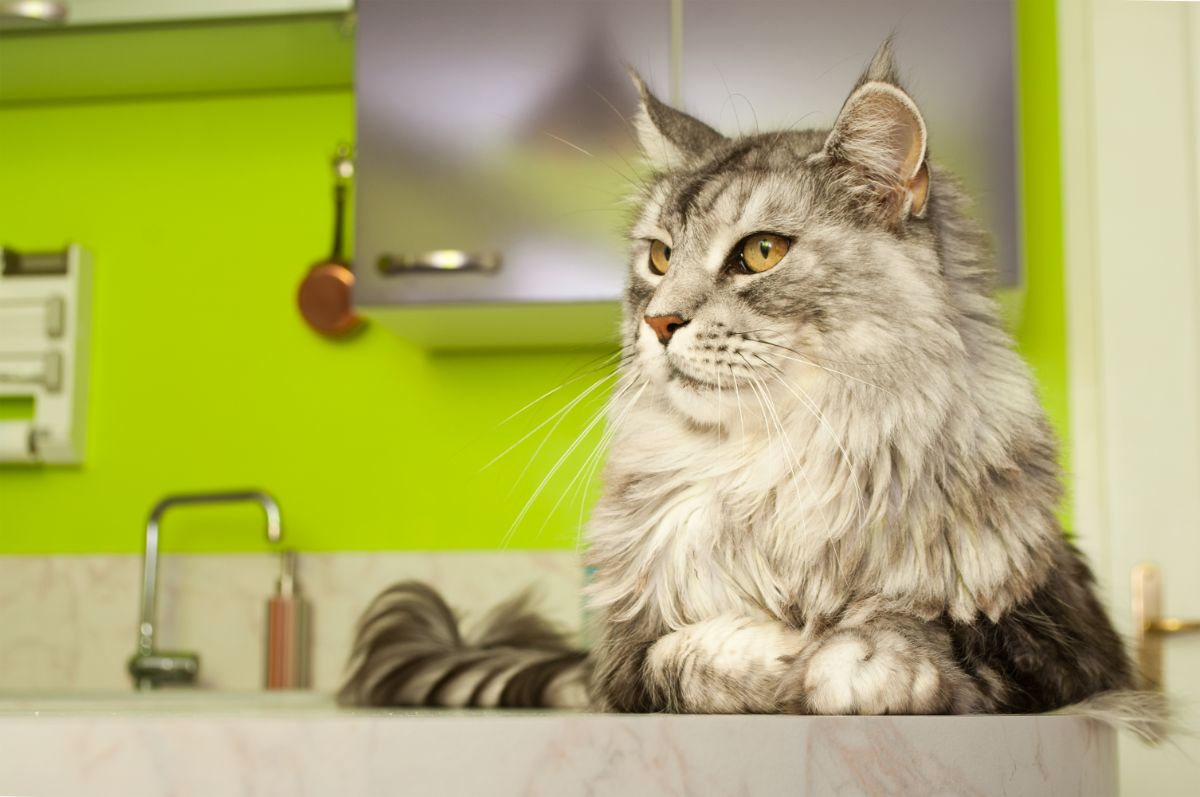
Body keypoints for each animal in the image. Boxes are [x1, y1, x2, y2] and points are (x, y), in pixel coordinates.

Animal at [338, 42, 1161, 729]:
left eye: (761, 253)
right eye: (660, 259)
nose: (660, 322)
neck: (771, 467)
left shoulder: (1063, 642)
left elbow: (924, 632)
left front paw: (861, 662)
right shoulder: (622, 663)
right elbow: (688, 657)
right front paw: (784, 655)